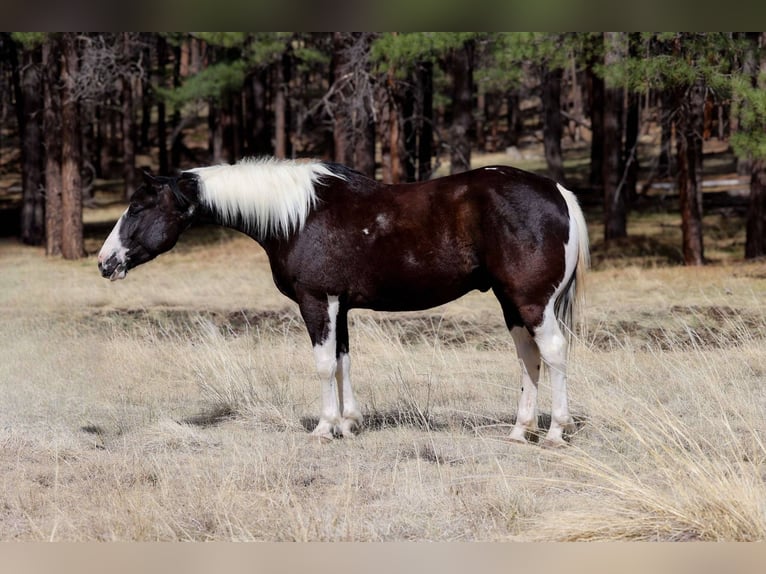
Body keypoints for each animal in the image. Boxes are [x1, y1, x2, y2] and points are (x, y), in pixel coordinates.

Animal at [98, 157, 589, 446]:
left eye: (138, 208)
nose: (105, 262)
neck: (298, 216)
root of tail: (557, 191)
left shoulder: (317, 302)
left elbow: (322, 364)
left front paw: (323, 427)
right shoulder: (341, 306)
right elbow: (342, 362)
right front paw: (349, 423)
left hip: (531, 302)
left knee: (553, 353)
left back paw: (555, 432)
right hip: (512, 303)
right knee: (528, 356)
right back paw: (520, 430)